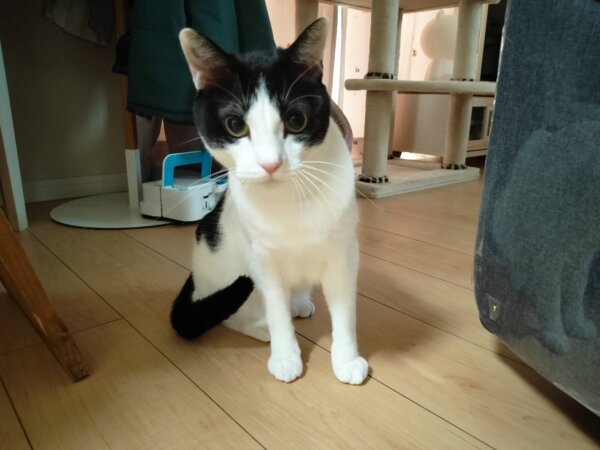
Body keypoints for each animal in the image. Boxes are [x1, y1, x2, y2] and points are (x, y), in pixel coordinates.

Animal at [170, 18, 369, 385]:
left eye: (296, 121)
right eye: (236, 125)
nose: (270, 164)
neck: (289, 199)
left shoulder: (344, 253)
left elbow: (345, 313)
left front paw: (347, 359)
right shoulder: (262, 260)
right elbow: (276, 312)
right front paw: (285, 355)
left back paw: (300, 302)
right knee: (230, 312)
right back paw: (261, 328)